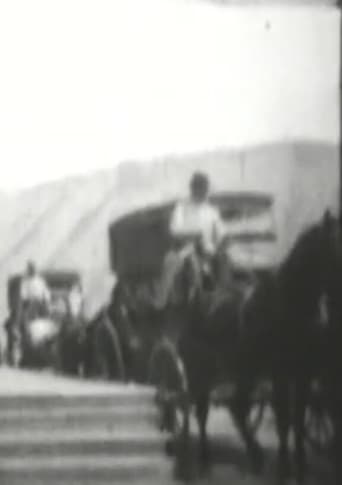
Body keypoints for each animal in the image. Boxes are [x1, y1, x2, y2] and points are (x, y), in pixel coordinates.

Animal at [174, 211, 342, 484]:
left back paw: (255, 455)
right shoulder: (279, 374)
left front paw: (301, 470)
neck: (288, 304)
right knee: (200, 410)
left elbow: (298, 421)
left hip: (245, 371)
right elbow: (285, 420)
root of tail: (198, 301)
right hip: (202, 372)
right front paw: (284, 470)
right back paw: (204, 460)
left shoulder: (303, 374)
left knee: (238, 407)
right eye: (334, 248)